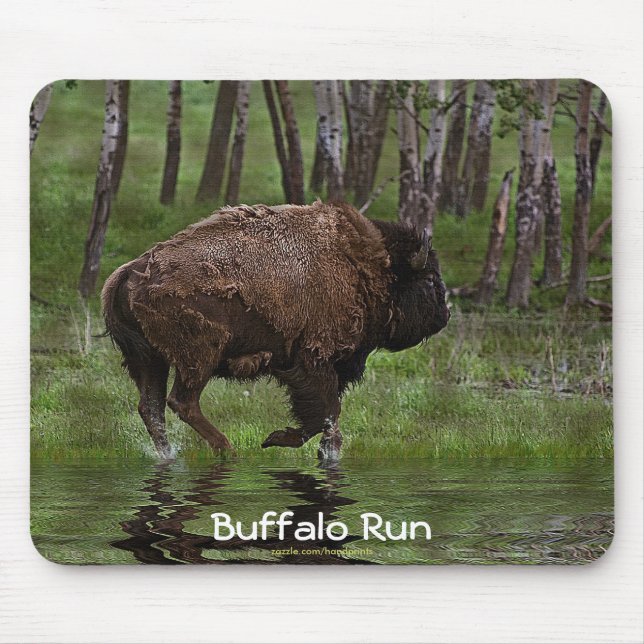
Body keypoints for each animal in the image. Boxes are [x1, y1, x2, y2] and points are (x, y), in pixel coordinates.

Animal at [102, 201, 449, 460]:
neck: (362, 266)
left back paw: (171, 455)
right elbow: (324, 411)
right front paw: (276, 439)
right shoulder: (314, 360)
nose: (445, 315)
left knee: (152, 407)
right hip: (199, 357)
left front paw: (326, 451)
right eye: (431, 279)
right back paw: (227, 449)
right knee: (181, 402)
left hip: (149, 360)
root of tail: (129, 272)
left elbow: (330, 415)